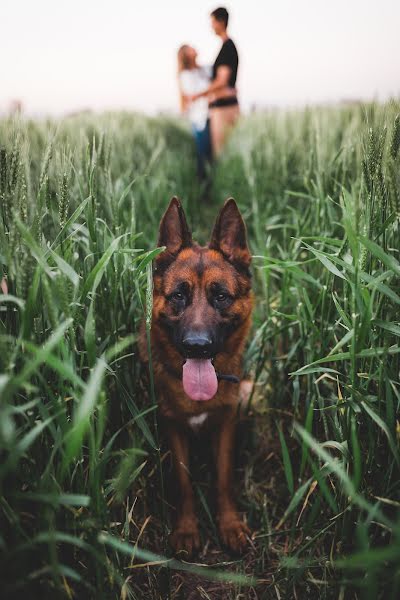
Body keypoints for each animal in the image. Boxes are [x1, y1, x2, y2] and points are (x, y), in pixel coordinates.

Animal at [141, 196, 253, 552]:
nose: (197, 346)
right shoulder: (173, 428)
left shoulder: (226, 423)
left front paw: (229, 524)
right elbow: (184, 482)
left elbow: (223, 478)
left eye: (221, 296)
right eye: (179, 295)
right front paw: (187, 529)